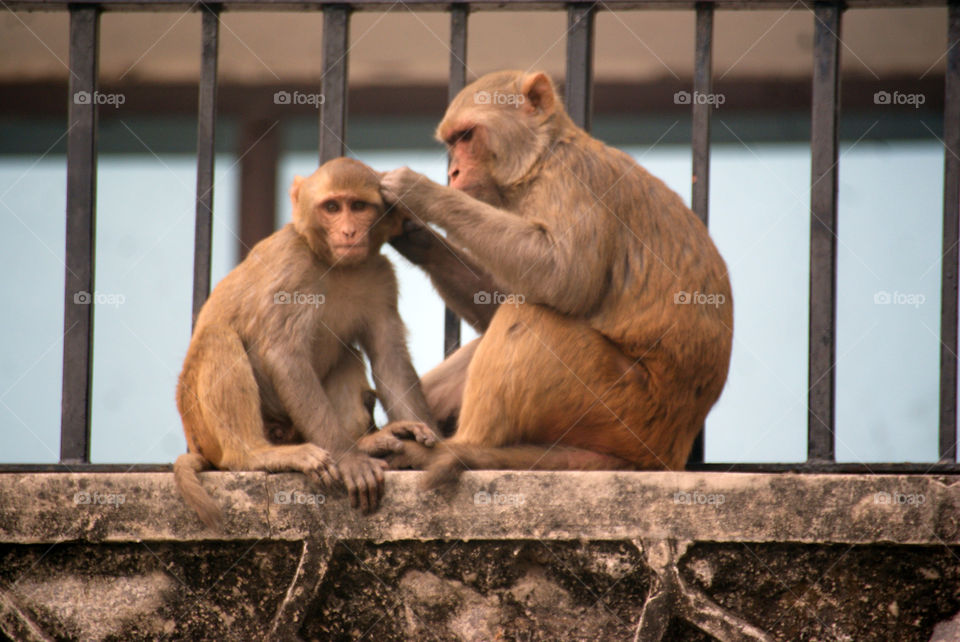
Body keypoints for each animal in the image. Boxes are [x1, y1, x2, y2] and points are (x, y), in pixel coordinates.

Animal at [174, 157, 438, 527]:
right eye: (332, 207)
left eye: (358, 206)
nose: (348, 232)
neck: (334, 264)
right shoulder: (292, 266)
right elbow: (284, 354)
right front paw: (347, 458)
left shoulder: (381, 276)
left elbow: (389, 356)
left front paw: (427, 443)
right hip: (204, 426)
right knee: (218, 338)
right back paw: (256, 455)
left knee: (347, 353)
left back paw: (368, 442)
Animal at [381, 70, 733, 487]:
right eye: (452, 142)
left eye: (466, 137)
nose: (453, 173)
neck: (540, 160)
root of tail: (666, 452)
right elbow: (500, 302)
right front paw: (417, 237)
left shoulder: (574, 179)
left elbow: (564, 280)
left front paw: (420, 192)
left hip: (622, 405)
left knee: (532, 317)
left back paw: (457, 448)